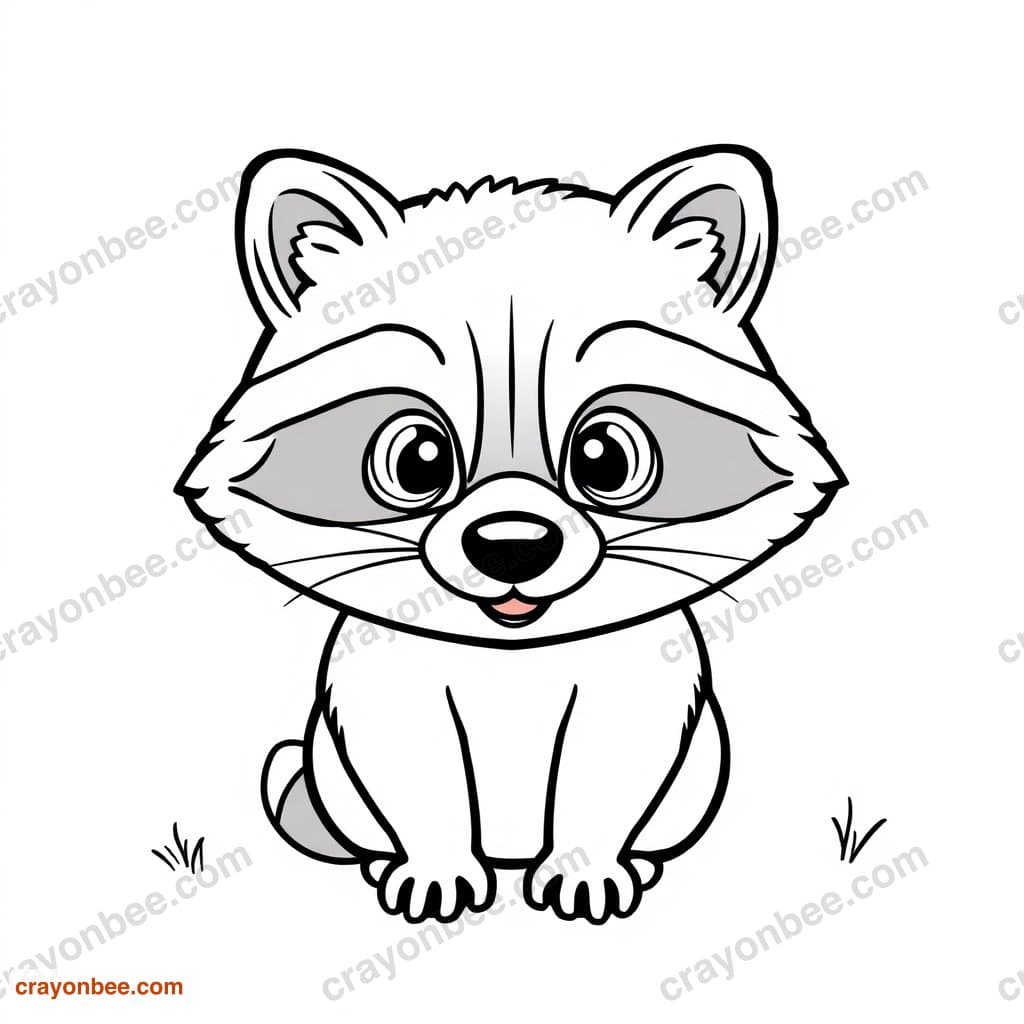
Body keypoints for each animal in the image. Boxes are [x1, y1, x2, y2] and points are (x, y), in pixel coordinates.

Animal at [177, 145, 844, 924]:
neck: (513, 659)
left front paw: (588, 873)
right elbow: (422, 785)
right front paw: (435, 874)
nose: (512, 544)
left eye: (606, 458)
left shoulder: (638, 691)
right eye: (417, 459)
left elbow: (602, 783)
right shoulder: (386, 692)